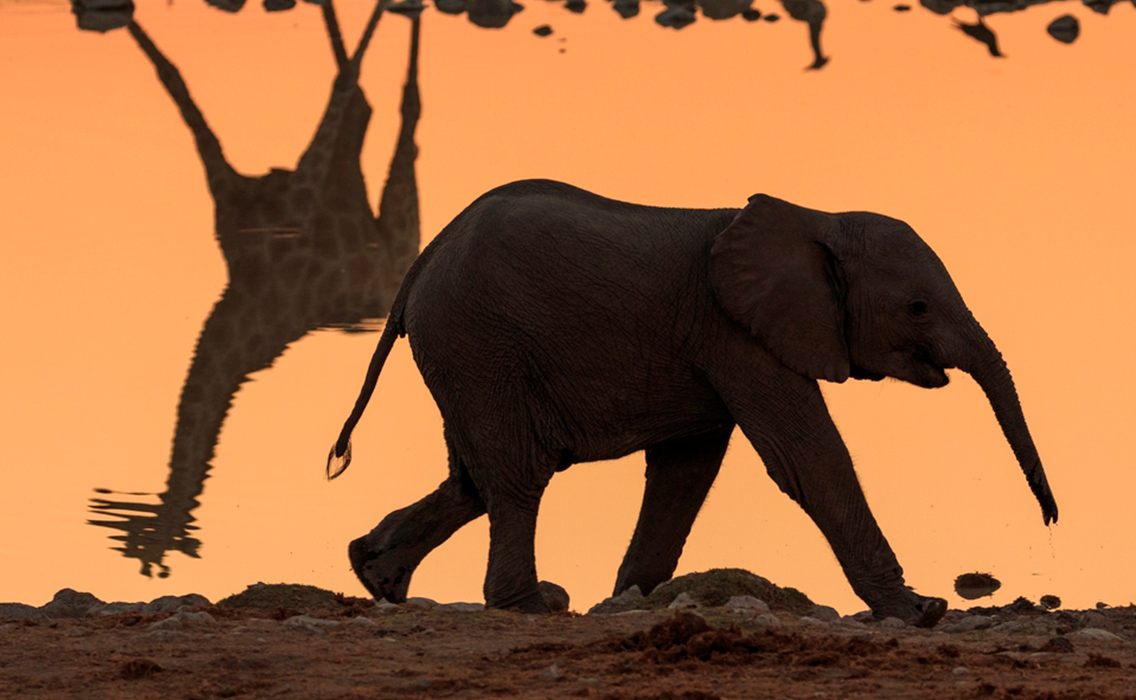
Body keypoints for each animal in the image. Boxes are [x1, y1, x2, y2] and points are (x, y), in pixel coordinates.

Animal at [88, 0, 423, 579]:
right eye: (129, 542)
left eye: (142, 537)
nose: (107, 509)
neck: (247, 286)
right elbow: (172, 76)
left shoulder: (307, 186)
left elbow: (344, 80)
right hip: (352, 175)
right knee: (366, 106)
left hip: (400, 221)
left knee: (404, 110)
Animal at [328, 179, 1057, 626]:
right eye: (917, 308)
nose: (1050, 521)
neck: (814, 217)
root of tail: (419, 265)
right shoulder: (735, 333)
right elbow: (807, 459)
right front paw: (919, 612)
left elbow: (686, 471)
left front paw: (628, 601)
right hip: (481, 345)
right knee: (517, 475)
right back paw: (529, 606)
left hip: (466, 355)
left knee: (473, 479)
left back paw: (376, 574)